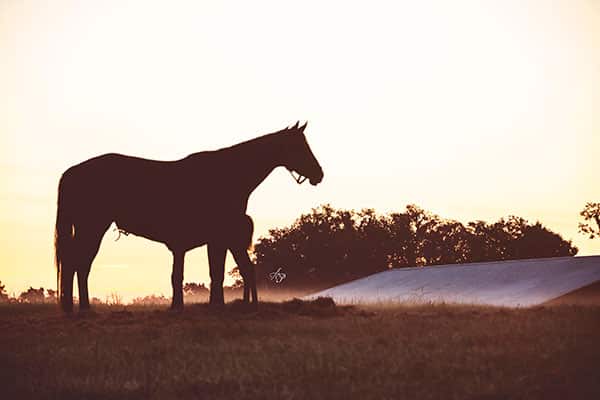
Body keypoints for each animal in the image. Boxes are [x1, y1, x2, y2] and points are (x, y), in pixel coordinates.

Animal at [55, 122, 324, 312]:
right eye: (299, 146)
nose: (318, 174)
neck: (228, 174)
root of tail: (72, 172)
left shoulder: (215, 240)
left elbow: (212, 273)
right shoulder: (217, 238)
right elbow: (212, 273)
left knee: (78, 263)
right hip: (92, 227)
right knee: (79, 263)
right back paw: (83, 308)